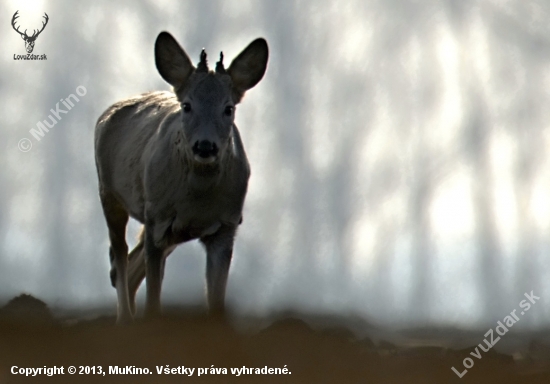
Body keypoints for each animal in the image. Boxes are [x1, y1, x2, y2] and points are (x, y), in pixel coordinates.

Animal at [95, 31, 270, 322]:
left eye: (229, 108)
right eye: (187, 106)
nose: (205, 146)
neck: (197, 199)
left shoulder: (227, 224)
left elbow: (216, 302)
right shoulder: (157, 218)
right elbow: (153, 301)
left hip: (171, 233)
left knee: (130, 265)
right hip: (109, 194)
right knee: (118, 255)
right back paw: (125, 319)